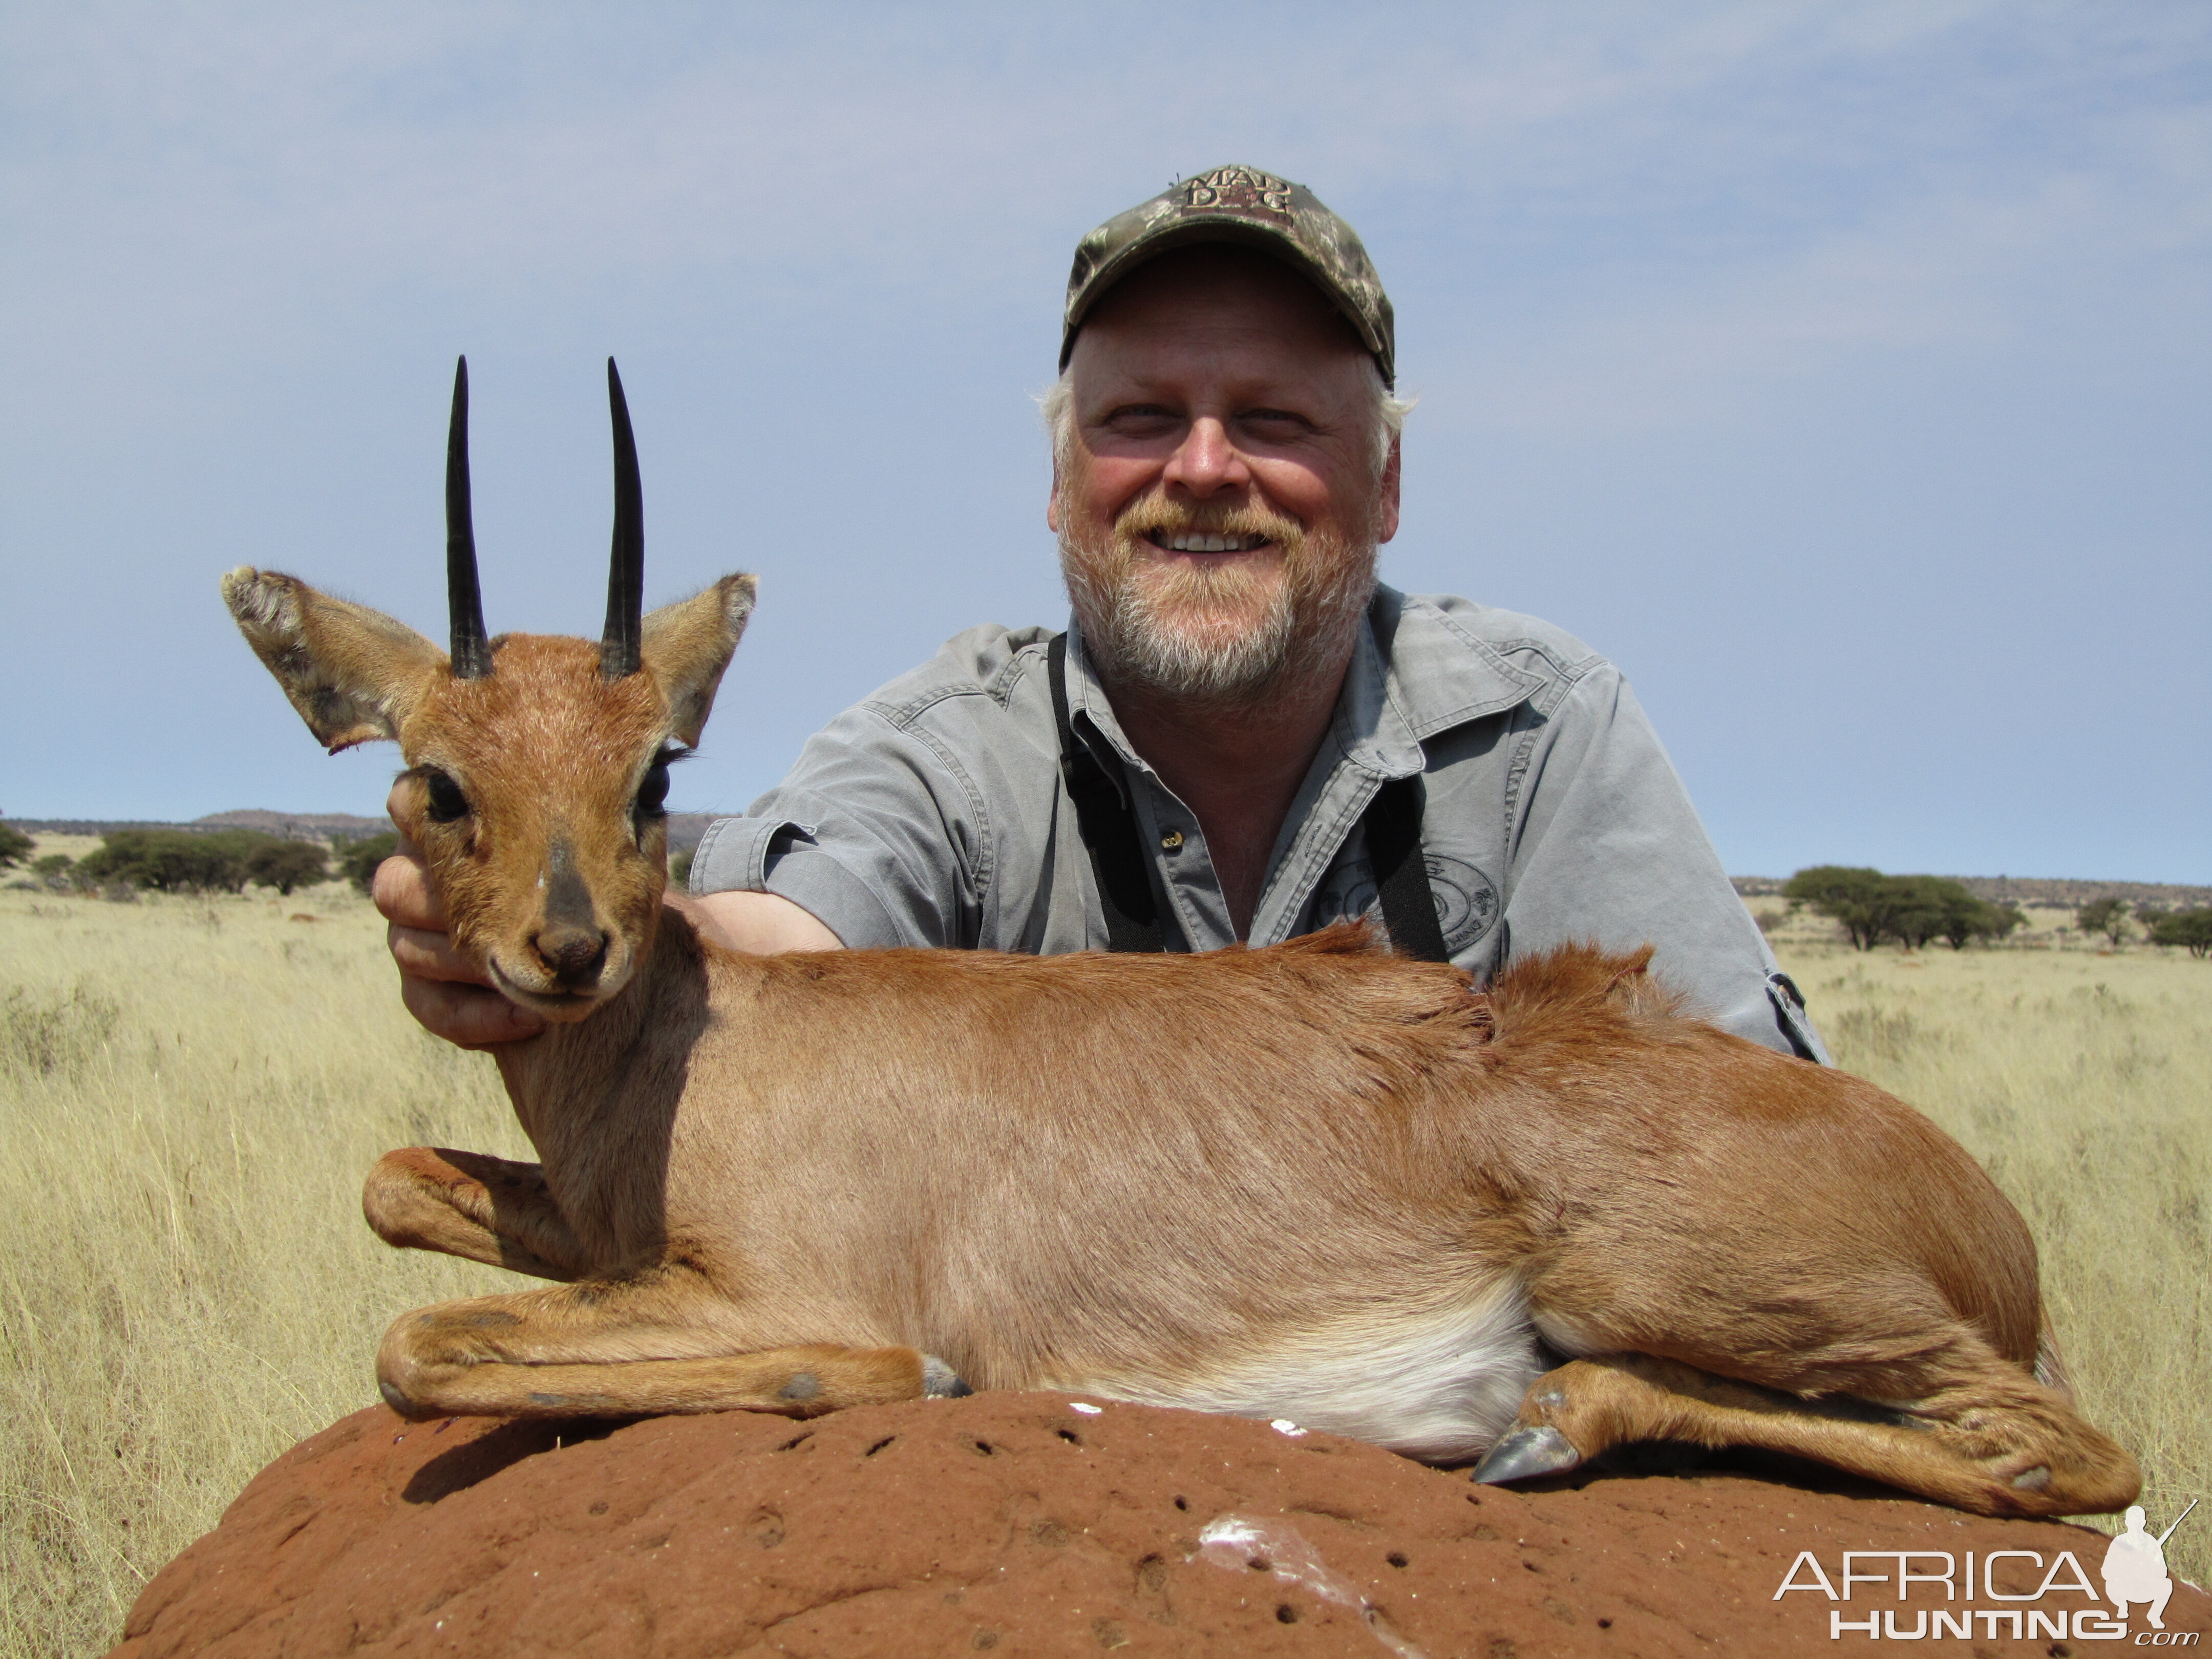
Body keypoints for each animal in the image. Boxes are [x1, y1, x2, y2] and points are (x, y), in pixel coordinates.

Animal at [216, 360, 2132, 1522]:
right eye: (435, 780)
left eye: (656, 770)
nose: (565, 955)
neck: (708, 1044)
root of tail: (1982, 1212)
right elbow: (395, 1186)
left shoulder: (772, 1285)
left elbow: (423, 1351)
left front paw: (859, 1377)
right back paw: (1539, 1420)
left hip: (1682, 1277)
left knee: (2056, 1448)